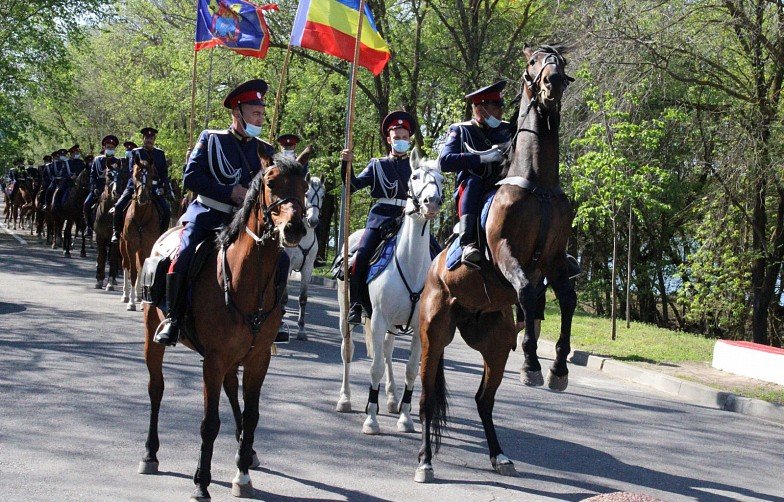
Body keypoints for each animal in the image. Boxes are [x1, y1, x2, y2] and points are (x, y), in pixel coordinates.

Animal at [118, 161, 162, 310]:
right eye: (136, 175)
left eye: (150, 176)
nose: (142, 198)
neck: (141, 216)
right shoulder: (130, 246)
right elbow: (132, 272)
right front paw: (131, 303)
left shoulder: (147, 246)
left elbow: (143, 269)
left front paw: (142, 302)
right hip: (123, 245)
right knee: (126, 265)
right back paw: (126, 295)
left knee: (139, 266)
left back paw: (138, 295)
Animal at [139, 160, 304, 502]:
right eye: (271, 182)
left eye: (305, 186)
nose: (294, 228)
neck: (246, 282)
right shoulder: (213, 361)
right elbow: (209, 423)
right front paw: (202, 482)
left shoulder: (258, 359)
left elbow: (253, 414)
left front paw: (242, 472)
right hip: (152, 337)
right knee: (156, 388)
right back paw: (150, 453)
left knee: (231, 388)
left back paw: (248, 452)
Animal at [336, 158, 444, 436]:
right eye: (414, 176)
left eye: (440, 178)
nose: (432, 202)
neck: (410, 263)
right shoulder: (378, 319)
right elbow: (373, 367)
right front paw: (371, 419)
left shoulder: (417, 327)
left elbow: (410, 370)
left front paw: (405, 417)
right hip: (347, 314)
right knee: (348, 350)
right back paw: (345, 398)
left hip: (392, 325)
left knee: (386, 351)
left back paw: (393, 399)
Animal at [416, 47, 576, 482]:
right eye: (535, 62)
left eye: (559, 61)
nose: (553, 82)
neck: (537, 184)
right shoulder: (506, 252)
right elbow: (527, 291)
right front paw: (533, 362)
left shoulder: (555, 260)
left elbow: (566, 301)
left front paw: (557, 369)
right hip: (433, 334)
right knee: (425, 398)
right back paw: (424, 462)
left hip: (494, 345)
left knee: (483, 400)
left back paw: (498, 455)